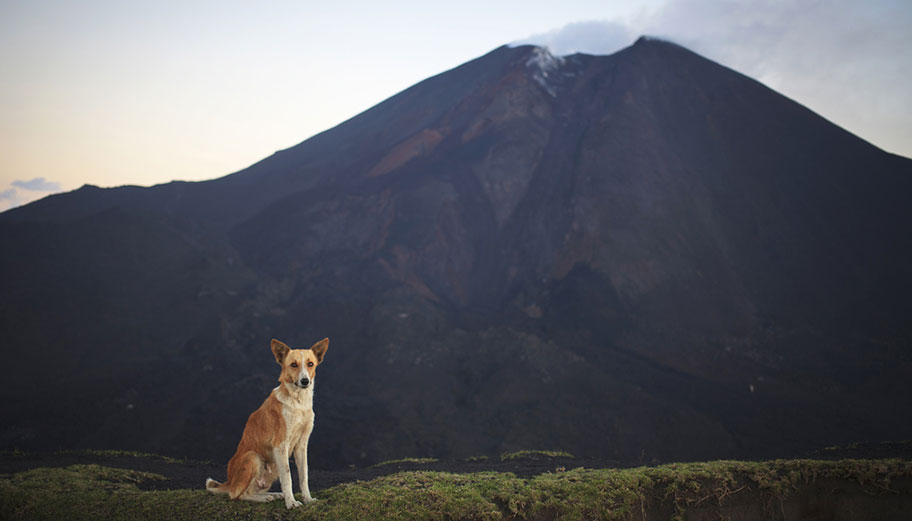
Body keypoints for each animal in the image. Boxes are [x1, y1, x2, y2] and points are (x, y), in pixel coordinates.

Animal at [206, 338, 328, 508]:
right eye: (293, 364)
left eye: (310, 364)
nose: (305, 381)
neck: (298, 403)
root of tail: (229, 482)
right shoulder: (280, 445)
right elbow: (288, 477)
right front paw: (291, 503)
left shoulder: (301, 445)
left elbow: (304, 476)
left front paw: (308, 499)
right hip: (254, 457)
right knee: (237, 495)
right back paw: (265, 497)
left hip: (273, 467)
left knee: (250, 490)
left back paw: (273, 495)